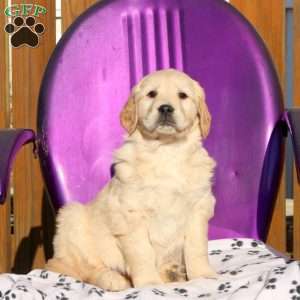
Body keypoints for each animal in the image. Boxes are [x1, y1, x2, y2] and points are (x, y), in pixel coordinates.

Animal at [46, 68, 216, 290]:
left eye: (182, 95)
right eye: (152, 94)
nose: (166, 108)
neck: (166, 150)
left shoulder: (197, 208)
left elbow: (196, 248)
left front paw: (203, 275)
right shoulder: (130, 214)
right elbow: (142, 252)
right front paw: (149, 282)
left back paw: (172, 272)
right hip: (71, 218)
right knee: (84, 269)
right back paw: (113, 279)